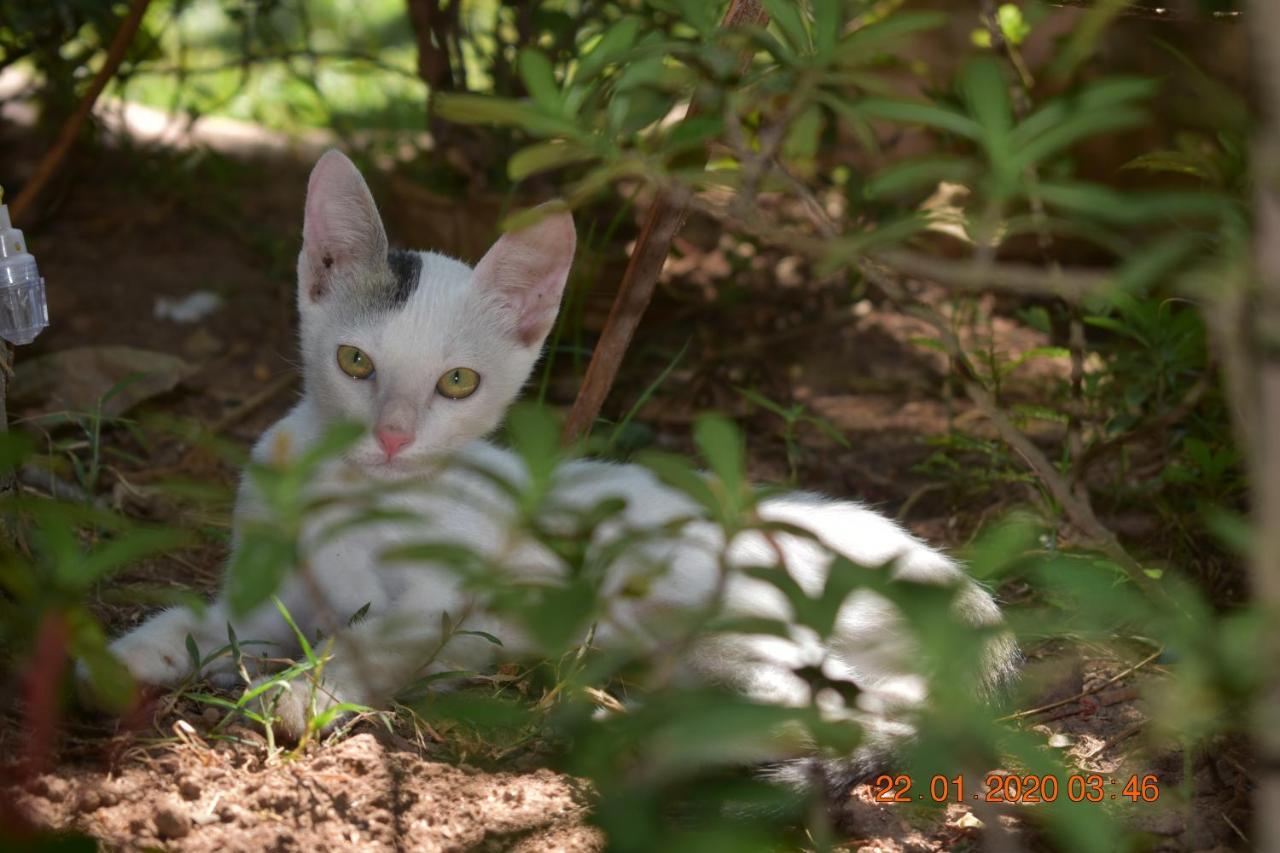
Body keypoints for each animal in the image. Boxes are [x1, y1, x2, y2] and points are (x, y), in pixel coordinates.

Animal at [94, 149, 1018, 794]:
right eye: (355, 362)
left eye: (457, 382)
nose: (392, 436)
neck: (352, 498)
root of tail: (969, 596)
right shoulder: (262, 590)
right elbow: (200, 620)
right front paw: (128, 657)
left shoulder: (444, 600)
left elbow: (372, 636)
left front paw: (300, 691)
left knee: (864, 711)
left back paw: (633, 727)